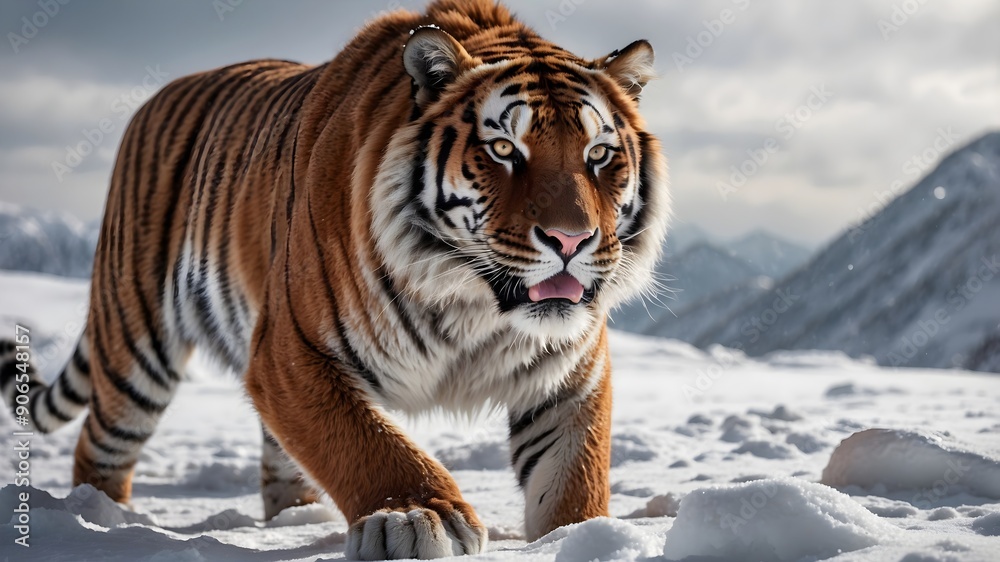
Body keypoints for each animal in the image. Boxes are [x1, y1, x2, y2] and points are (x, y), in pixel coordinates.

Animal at [0, 0, 669, 558]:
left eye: (599, 155)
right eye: (504, 149)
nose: (571, 241)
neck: (472, 303)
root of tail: (157, 95)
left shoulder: (570, 374)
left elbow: (573, 474)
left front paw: (584, 537)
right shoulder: (291, 351)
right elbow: (362, 440)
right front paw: (418, 516)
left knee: (279, 461)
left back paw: (295, 522)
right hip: (136, 345)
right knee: (99, 446)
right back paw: (95, 521)